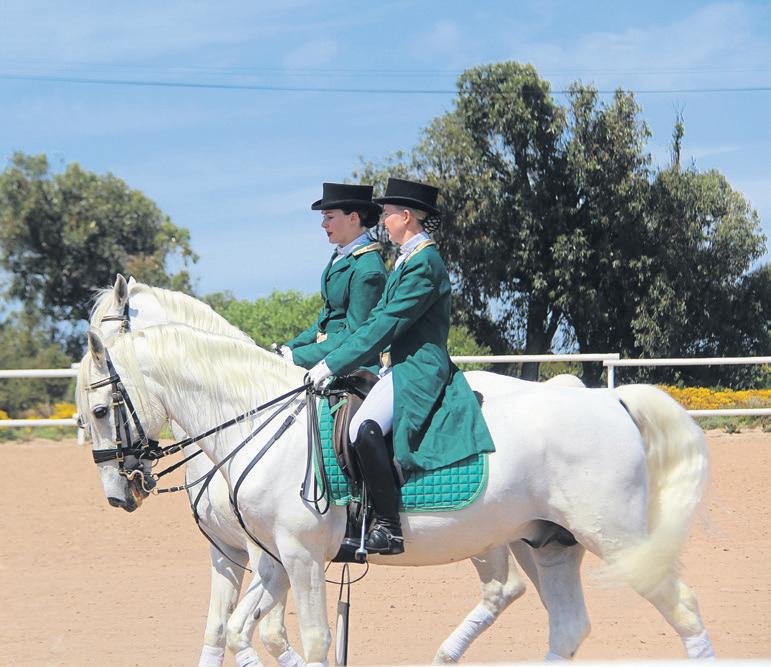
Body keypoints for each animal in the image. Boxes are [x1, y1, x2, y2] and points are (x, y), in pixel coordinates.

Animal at [78, 322, 714, 665]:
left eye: (102, 409)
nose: (119, 493)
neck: (261, 423)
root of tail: (610, 399)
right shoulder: (270, 560)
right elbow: (242, 630)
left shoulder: (300, 558)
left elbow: (308, 639)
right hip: (548, 545)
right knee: (566, 626)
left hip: (617, 540)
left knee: (682, 607)